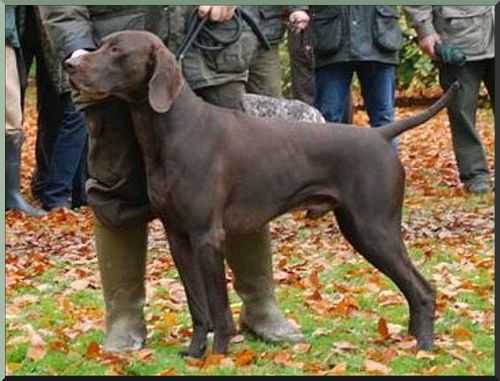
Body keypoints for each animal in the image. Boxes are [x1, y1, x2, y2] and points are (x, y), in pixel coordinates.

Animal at [64, 31, 458, 358]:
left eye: (116, 50)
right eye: (100, 45)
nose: (69, 64)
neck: (171, 129)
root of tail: (379, 134)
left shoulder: (207, 236)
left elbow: (218, 306)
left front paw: (219, 354)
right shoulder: (179, 236)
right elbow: (198, 306)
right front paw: (194, 353)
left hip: (374, 229)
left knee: (423, 289)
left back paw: (423, 347)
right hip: (362, 230)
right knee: (413, 289)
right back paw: (413, 338)